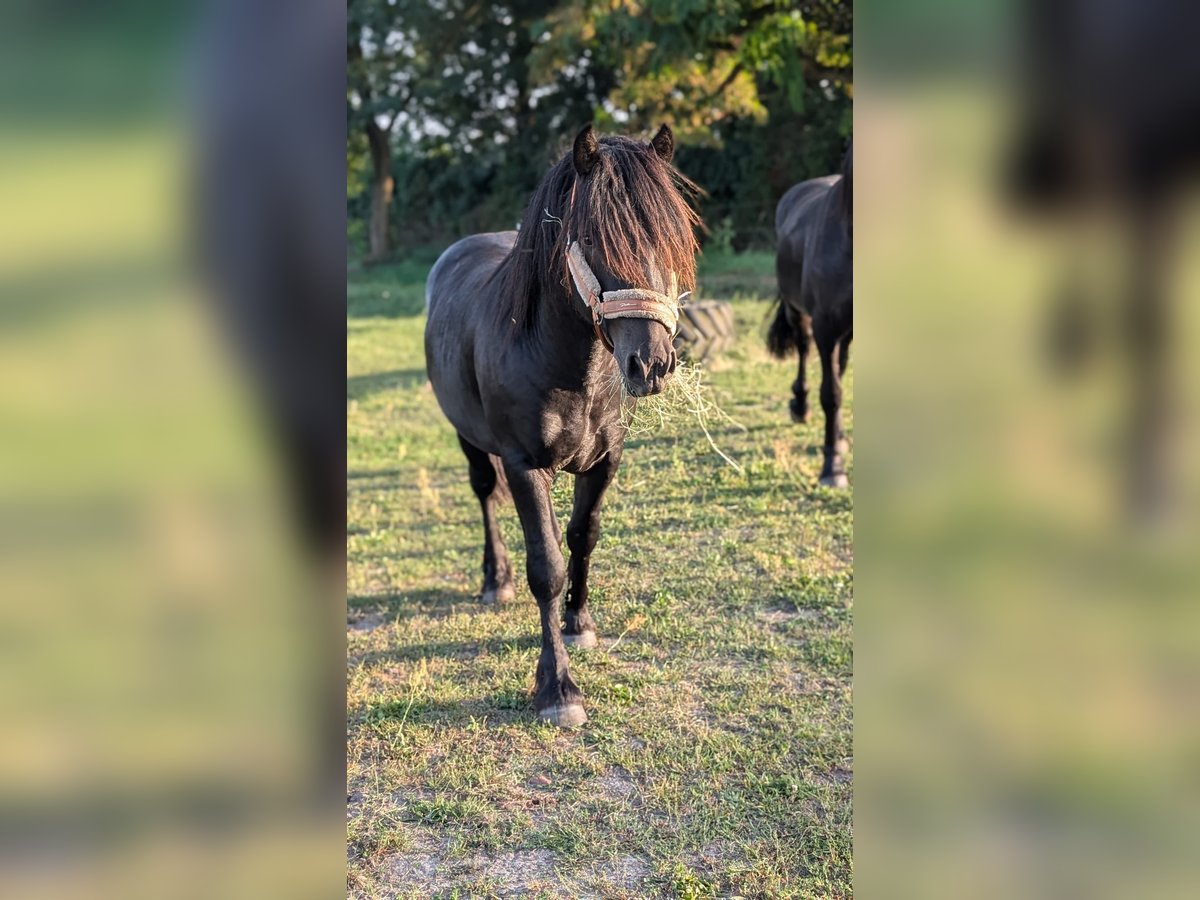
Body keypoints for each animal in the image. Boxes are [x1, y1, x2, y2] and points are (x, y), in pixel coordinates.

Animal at [424, 125, 700, 724]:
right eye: (595, 240)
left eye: (671, 239)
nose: (651, 364)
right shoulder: (525, 465)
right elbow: (545, 567)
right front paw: (558, 689)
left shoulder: (605, 460)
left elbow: (582, 537)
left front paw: (580, 624)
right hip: (469, 437)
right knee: (484, 493)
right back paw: (495, 580)